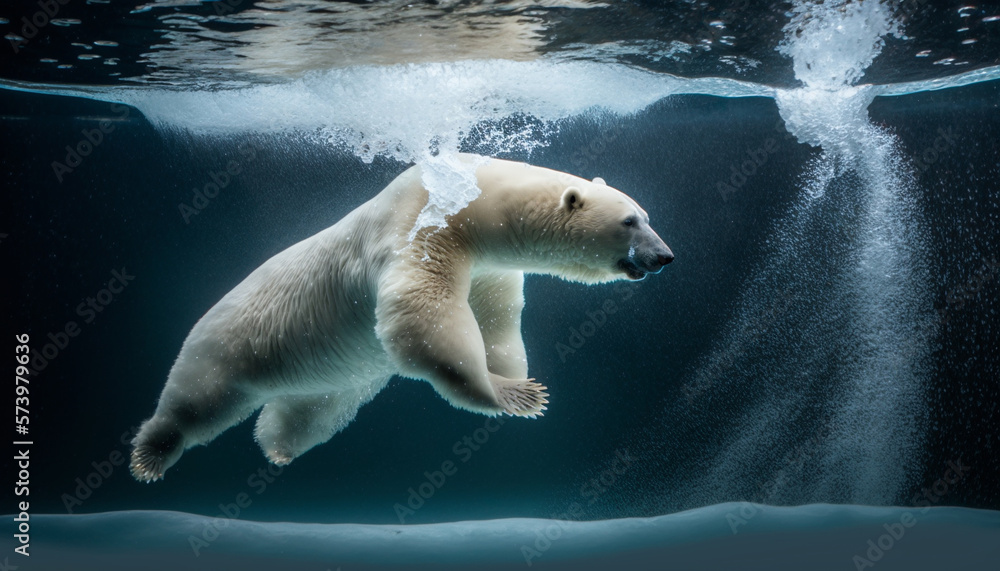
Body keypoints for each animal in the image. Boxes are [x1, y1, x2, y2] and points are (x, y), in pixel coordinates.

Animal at [127, 155, 672, 482]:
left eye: (647, 215)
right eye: (630, 221)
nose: (664, 256)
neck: (472, 194)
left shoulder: (488, 265)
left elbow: (496, 316)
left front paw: (515, 377)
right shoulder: (422, 226)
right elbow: (422, 318)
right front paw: (510, 394)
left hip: (331, 383)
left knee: (305, 413)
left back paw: (278, 449)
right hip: (227, 343)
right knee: (198, 399)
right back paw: (151, 453)